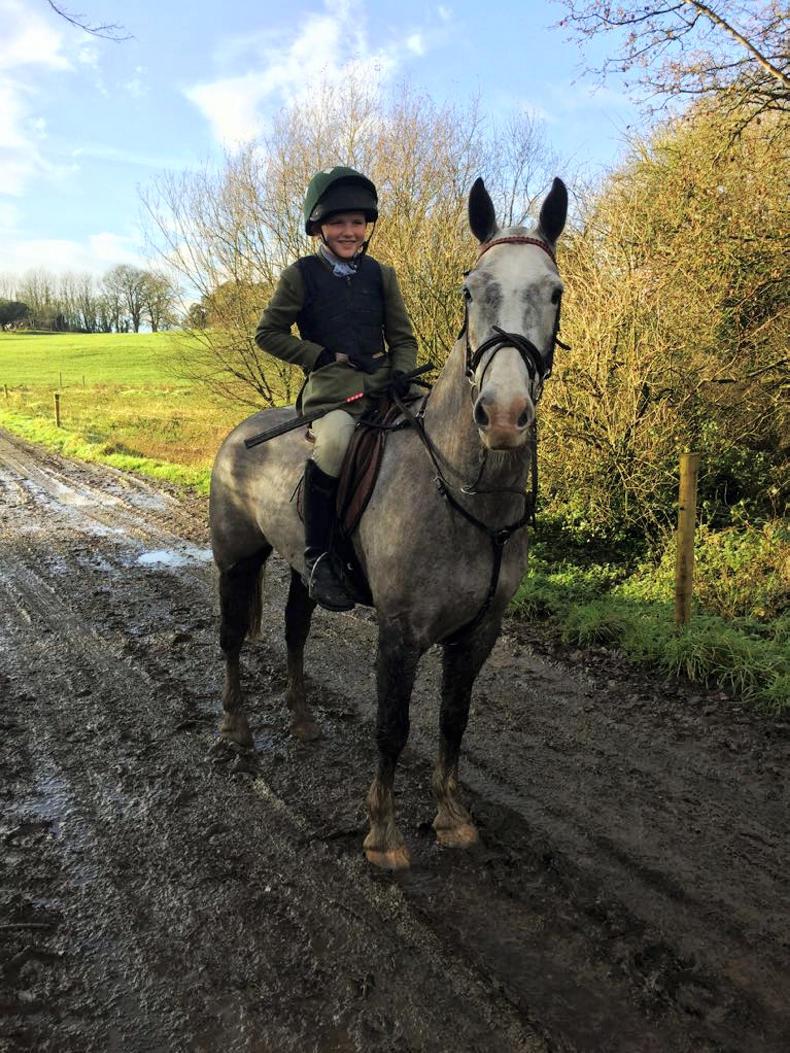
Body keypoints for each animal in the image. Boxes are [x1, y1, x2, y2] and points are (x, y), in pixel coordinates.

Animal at [209, 176, 567, 869]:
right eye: (469, 289)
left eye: (555, 291)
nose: (503, 416)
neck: (464, 494)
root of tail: (242, 430)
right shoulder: (399, 633)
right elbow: (392, 727)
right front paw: (383, 835)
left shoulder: (478, 632)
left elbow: (453, 720)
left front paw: (452, 818)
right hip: (235, 560)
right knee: (233, 638)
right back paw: (236, 728)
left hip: (303, 569)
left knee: (295, 632)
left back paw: (302, 722)